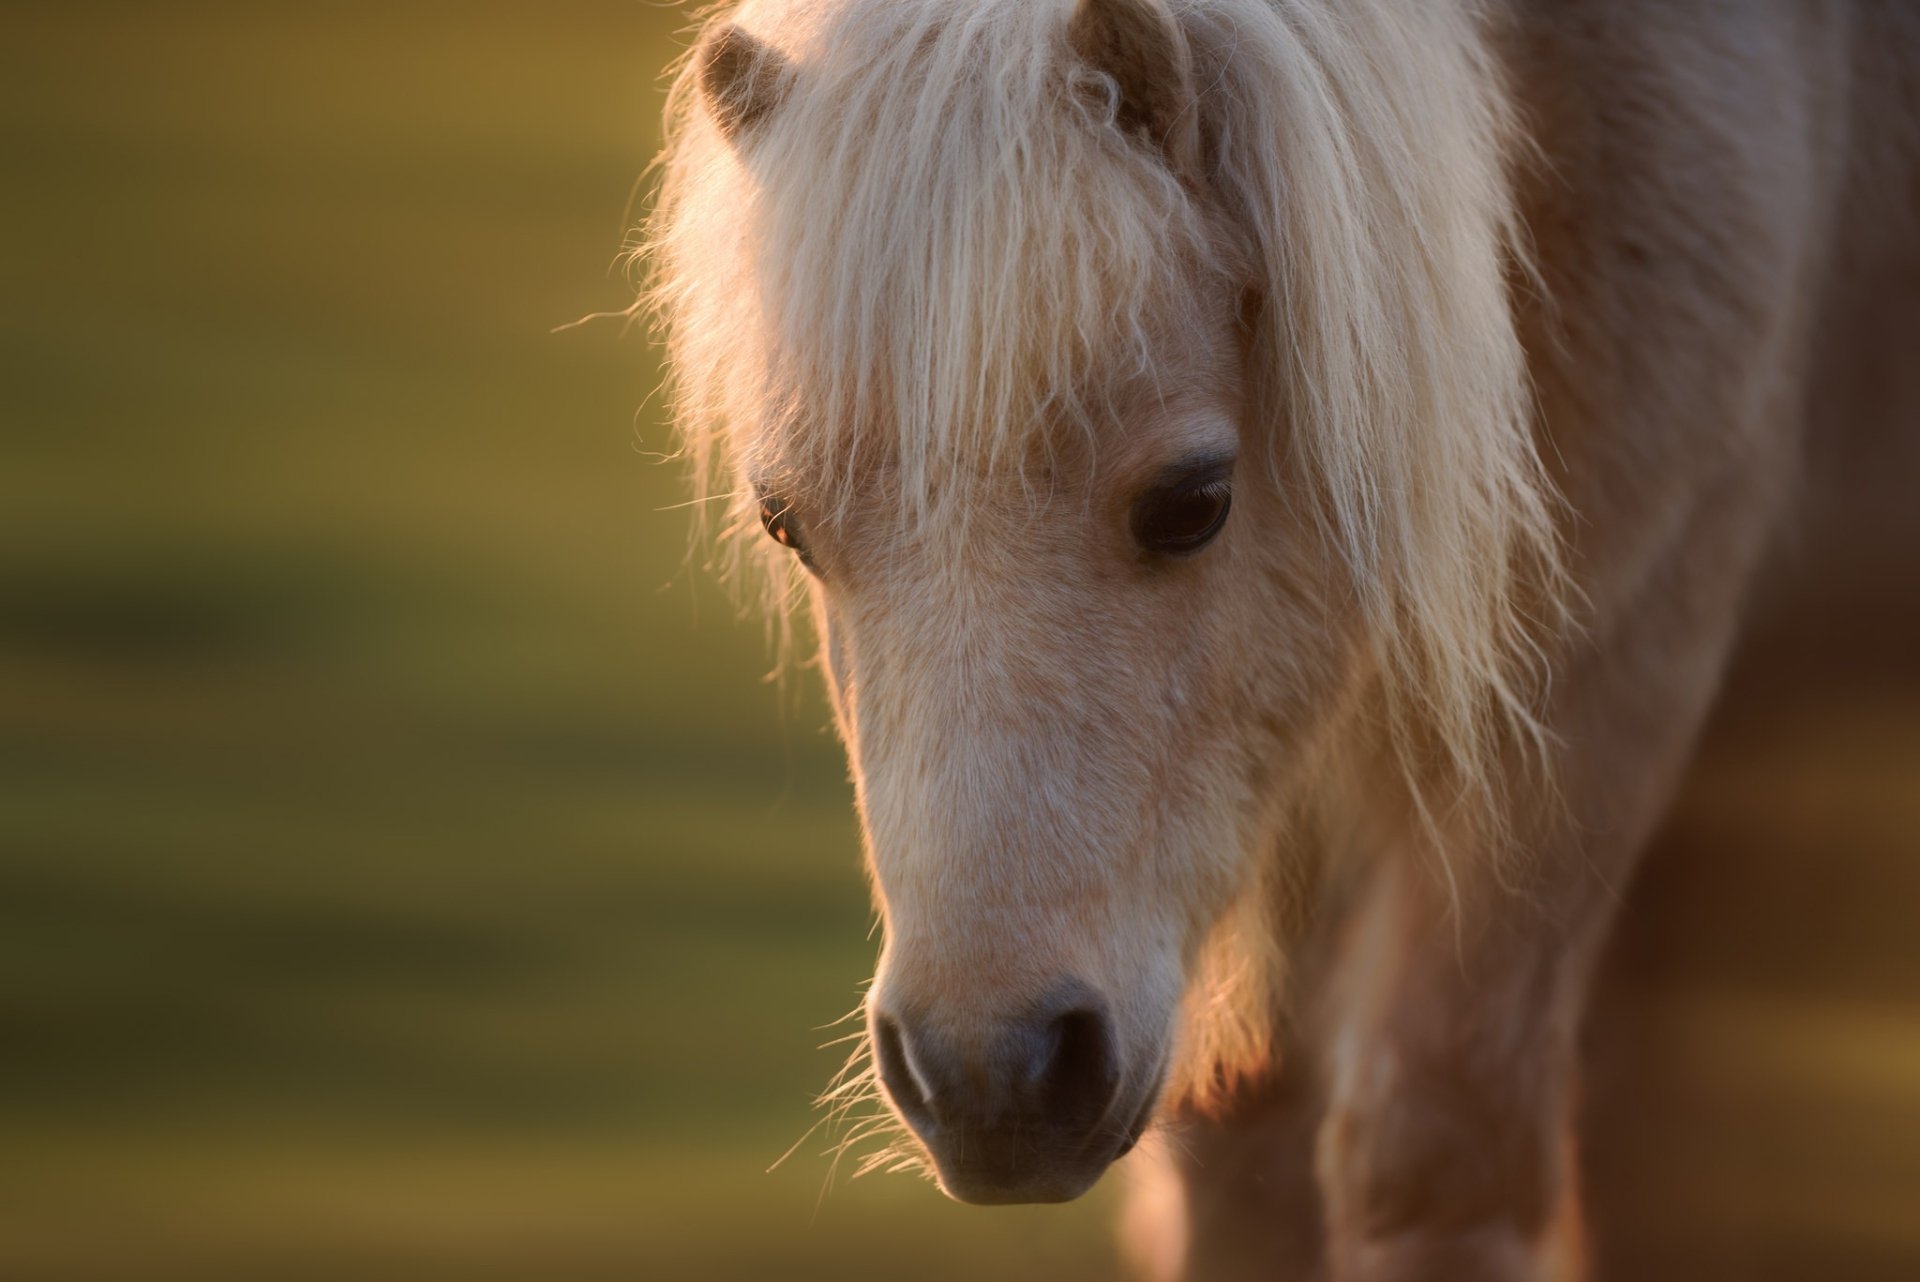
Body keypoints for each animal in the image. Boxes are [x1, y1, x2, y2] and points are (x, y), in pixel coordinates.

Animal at [642, 0, 1920, 1277]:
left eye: (1192, 500)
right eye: (787, 523)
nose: (989, 1076)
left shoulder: (1609, 660)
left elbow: (1442, 1148)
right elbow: (1244, 1165)